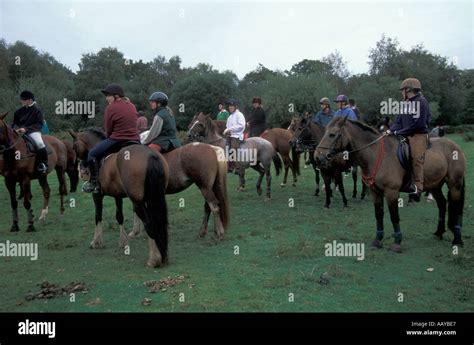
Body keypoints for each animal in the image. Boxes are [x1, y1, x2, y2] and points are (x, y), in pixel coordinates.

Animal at [67, 128, 169, 266]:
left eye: (74, 146)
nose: (81, 168)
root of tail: (150, 155)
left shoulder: (97, 195)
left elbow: (97, 216)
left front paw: (96, 241)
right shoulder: (117, 195)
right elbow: (119, 216)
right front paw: (123, 241)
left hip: (138, 202)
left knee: (150, 224)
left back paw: (154, 258)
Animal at [314, 117, 466, 251]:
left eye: (332, 134)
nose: (317, 157)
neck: (376, 155)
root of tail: (456, 147)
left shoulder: (391, 192)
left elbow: (394, 216)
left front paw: (397, 242)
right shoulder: (375, 192)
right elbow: (379, 215)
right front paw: (378, 240)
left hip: (455, 185)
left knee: (457, 208)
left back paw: (457, 240)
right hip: (435, 185)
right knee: (442, 204)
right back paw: (439, 233)